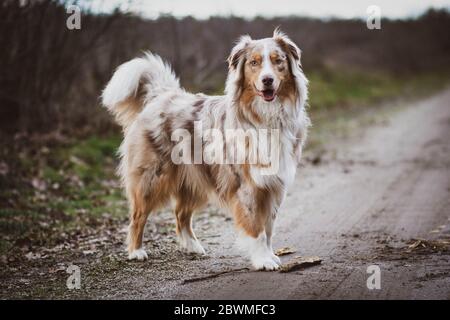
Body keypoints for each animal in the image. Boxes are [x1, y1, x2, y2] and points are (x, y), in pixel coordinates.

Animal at [101, 29, 310, 270]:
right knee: (138, 216)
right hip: (151, 179)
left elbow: (268, 228)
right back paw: (136, 251)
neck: (266, 117)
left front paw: (270, 255)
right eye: (254, 63)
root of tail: (161, 96)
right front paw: (263, 260)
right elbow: (256, 228)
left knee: (180, 214)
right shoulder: (248, 186)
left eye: (278, 61)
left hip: (195, 178)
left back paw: (192, 246)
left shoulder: (273, 186)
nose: (267, 80)